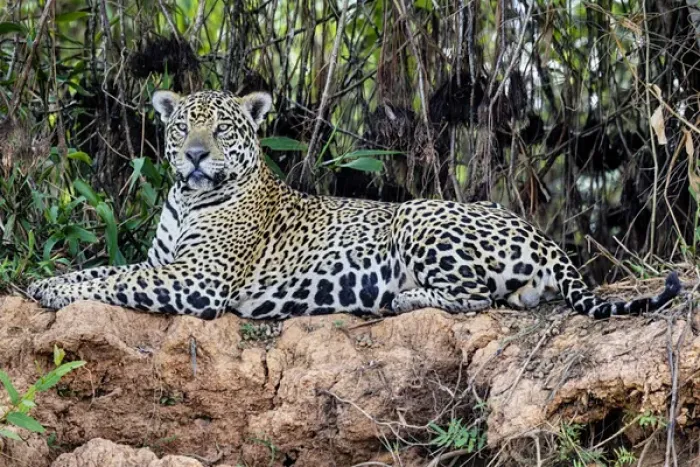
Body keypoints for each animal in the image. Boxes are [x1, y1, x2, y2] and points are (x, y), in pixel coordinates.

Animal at [27, 89, 682, 320]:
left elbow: (115, 276)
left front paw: (49, 287)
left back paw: (401, 298)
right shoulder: (168, 263)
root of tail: (544, 239)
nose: (192, 155)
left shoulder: (196, 279)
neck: (189, 198)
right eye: (185, 124)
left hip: (419, 213)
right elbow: (111, 268)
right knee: (505, 298)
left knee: (472, 299)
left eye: (222, 130)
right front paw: (48, 282)